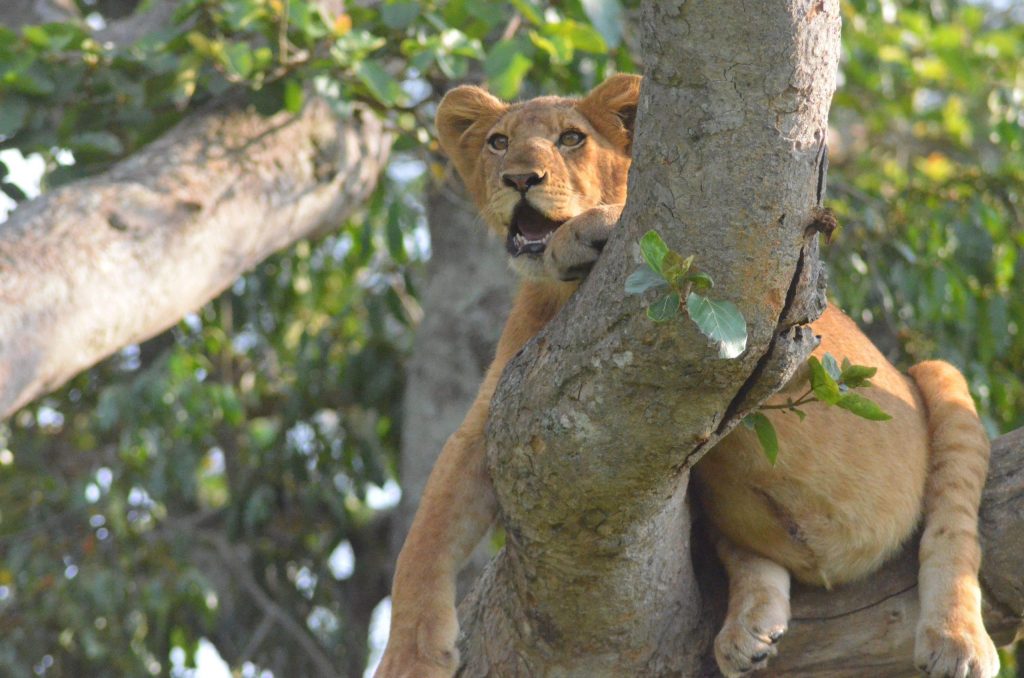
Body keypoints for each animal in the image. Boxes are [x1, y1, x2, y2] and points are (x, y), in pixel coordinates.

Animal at [375, 74, 999, 678]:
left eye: (571, 138)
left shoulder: (778, 332)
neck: (559, 296)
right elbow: (424, 537)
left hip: (936, 380)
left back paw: (957, 640)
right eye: (497, 142)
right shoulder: (497, 417)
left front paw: (581, 234)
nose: (519, 178)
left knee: (954, 532)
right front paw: (408, 658)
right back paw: (749, 629)